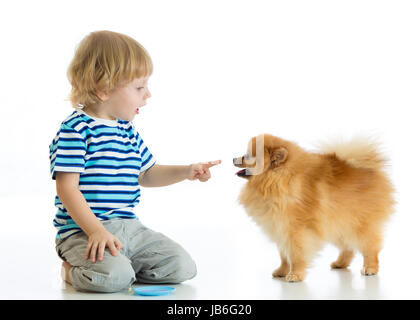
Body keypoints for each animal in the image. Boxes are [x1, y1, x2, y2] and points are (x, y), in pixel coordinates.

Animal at [233, 134, 394, 282]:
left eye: (247, 156)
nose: (234, 159)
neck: (277, 180)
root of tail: (371, 169)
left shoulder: (296, 230)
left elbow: (296, 255)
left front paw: (295, 274)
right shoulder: (280, 228)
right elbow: (284, 256)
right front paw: (282, 271)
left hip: (359, 223)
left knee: (370, 247)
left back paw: (370, 268)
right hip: (338, 223)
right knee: (348, 247)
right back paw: (340, 263)